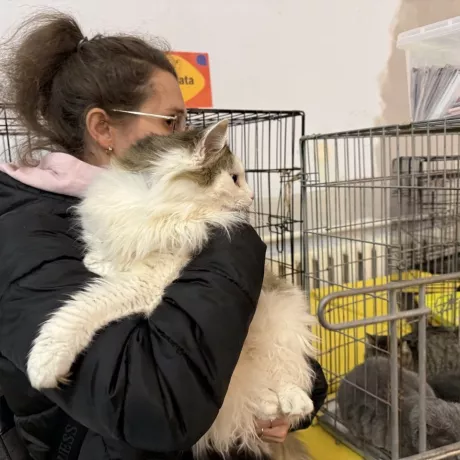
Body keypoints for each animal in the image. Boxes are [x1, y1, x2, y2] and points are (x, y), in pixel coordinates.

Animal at [26, 119, 316, 460]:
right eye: (234, 178)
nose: (253, 196)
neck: (161, 205)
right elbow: (104, 260)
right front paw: (99, 261)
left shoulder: (152, 280)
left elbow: (80, 309)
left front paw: (44, 364)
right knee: (255, 395)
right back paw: (269, 403)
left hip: (281, 321)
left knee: (284, 374)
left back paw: (293, 400)